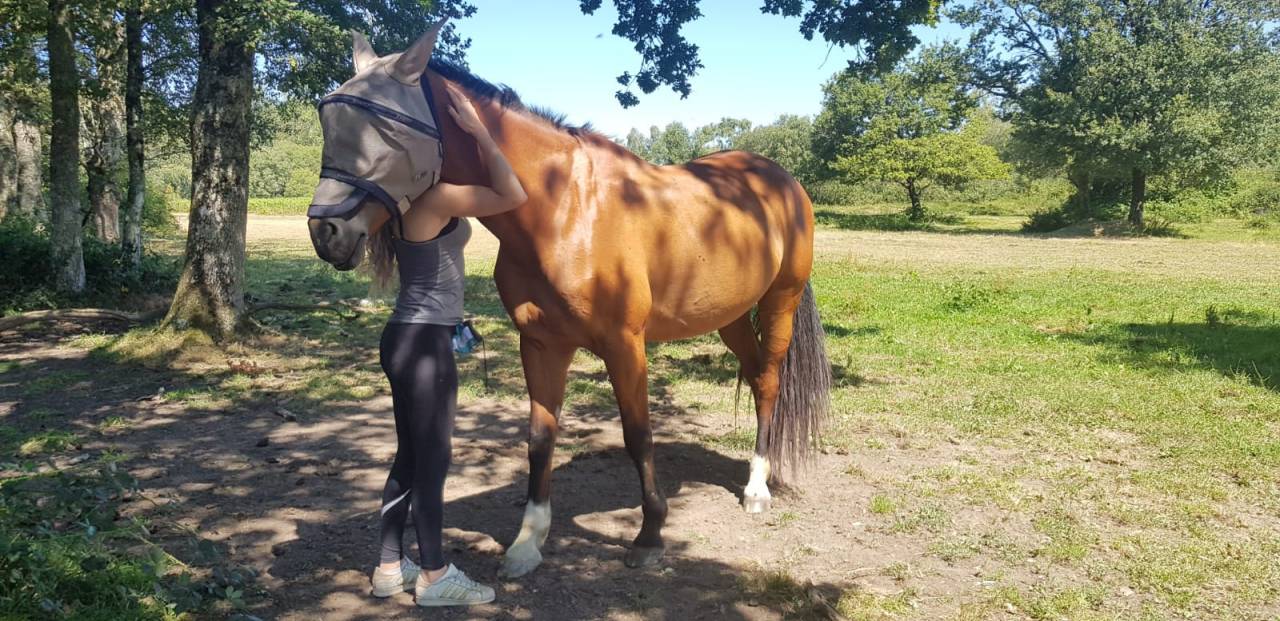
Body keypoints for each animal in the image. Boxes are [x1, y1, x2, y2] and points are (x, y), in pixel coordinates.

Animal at [307, 24, 832, 578]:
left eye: (387, 128)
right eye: (327, 119)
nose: (327, 232)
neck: (562, 209)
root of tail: (780, 177)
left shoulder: (625, 346)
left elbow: (638, 434)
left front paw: (649, 536)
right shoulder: (541, 344)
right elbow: (540, 437)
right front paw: (528, 542)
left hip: (780, 302)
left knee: (769, 381)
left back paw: (756, 489)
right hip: (728, 316)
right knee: (754, 377)